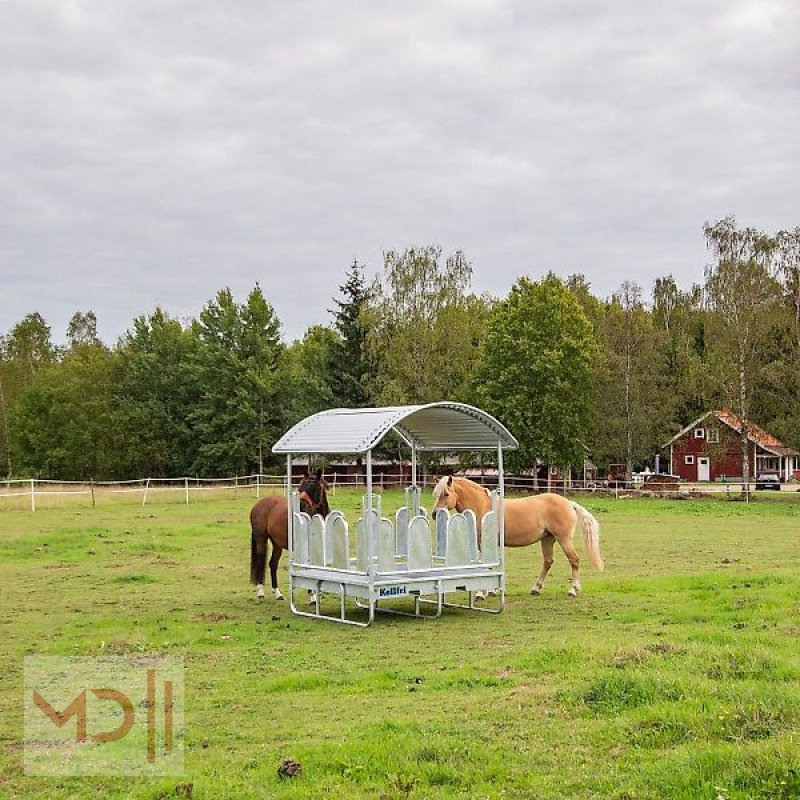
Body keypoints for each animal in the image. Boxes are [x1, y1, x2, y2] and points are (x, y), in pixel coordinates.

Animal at [250, 469, 330, 600]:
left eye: (314, 487)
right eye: (300, 488)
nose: (301, 506)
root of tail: (258, 505)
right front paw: (312, 597)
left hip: (277, 544)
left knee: (273, 564)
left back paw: (277, 593)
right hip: (261, 539)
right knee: (261, 562)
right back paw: (260, 591)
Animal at [432, 475, 604, 597]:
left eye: (446, 494)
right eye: (435, 494)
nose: (434, 514)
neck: (483, 507)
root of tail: (569, 503)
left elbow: (486, 565)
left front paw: (481, 593)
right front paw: (492, 591)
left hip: (564, 539)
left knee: (574, 560)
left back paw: (573, 589)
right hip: (547, 539)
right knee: (548, 562)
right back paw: (536, 588)